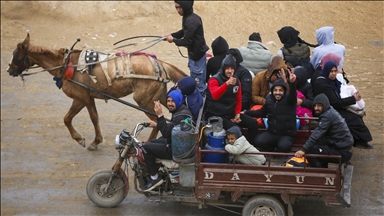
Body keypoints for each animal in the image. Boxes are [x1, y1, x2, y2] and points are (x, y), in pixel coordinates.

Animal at [7, 33, 189, 151]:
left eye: (16, 55)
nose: (9, 70)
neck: (67, 65)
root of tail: (160, 63)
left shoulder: (81, 98)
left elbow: (74, 119)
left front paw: (84, 140)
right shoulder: (87, 98)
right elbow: (84, 118)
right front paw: (93, 140)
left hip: (144, 100)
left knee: (156, 120)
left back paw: (147, 144)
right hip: (161, 96)